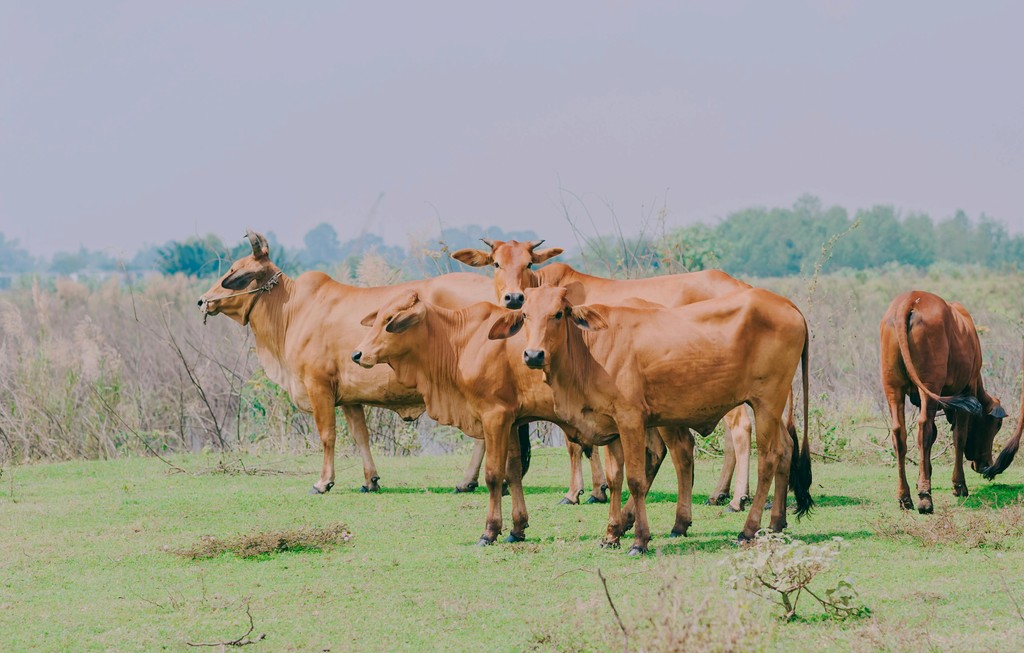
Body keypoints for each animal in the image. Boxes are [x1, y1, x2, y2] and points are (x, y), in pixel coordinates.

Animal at [198, 229, 494, 494]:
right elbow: (360, 436)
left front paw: (323, 482)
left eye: (234, 271)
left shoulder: (318, 386)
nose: (202, 300)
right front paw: (370, 480)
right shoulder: (350, 396)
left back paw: (469, 481)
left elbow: (327, 435)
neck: (291, 310)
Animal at [351, 292, 693, 550]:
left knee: (676, 454)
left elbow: (493, 475)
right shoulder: (514, 420)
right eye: (378, 317)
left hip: (661, 416)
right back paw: (643, 522)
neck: (460, 340)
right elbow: (513, 471)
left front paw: (490, 531)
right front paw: (517, 528)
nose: (357, 354)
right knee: (663, 455)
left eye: (390, 320)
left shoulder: (495, 415)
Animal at [452, 238, 772, 512]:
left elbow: (576, 444)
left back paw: (737, 499)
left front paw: (576, 493)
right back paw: (722, 494)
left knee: (741, 430)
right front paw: (597, 490)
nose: (514, 297)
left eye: (528, 263)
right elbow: (589, 442)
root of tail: (740, 285)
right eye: (496, 263)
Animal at [490, 284, 813, 551]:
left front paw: (639, 540)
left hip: (766, 403)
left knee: (768, 458)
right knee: (786, 450)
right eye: (526, 315)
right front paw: (612, 534)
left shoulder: (631, 421)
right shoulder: (611, 426)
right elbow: (615, 478)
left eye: (558, 314)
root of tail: (787, 304)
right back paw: (775, 523)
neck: (590, 350)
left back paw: (748, 530)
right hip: (771, 407)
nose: (533, 355)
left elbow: (634, 479)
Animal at [879, 290, 1015, 513]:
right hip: (930, 385)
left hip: (893, 387)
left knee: (899, 432)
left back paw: (905, 496)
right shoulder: (967, 390)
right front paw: (959, 485)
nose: (986, 465)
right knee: (924, 429)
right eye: (996, 425)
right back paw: (925, 498)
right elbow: (959, 437)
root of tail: (910, 299)